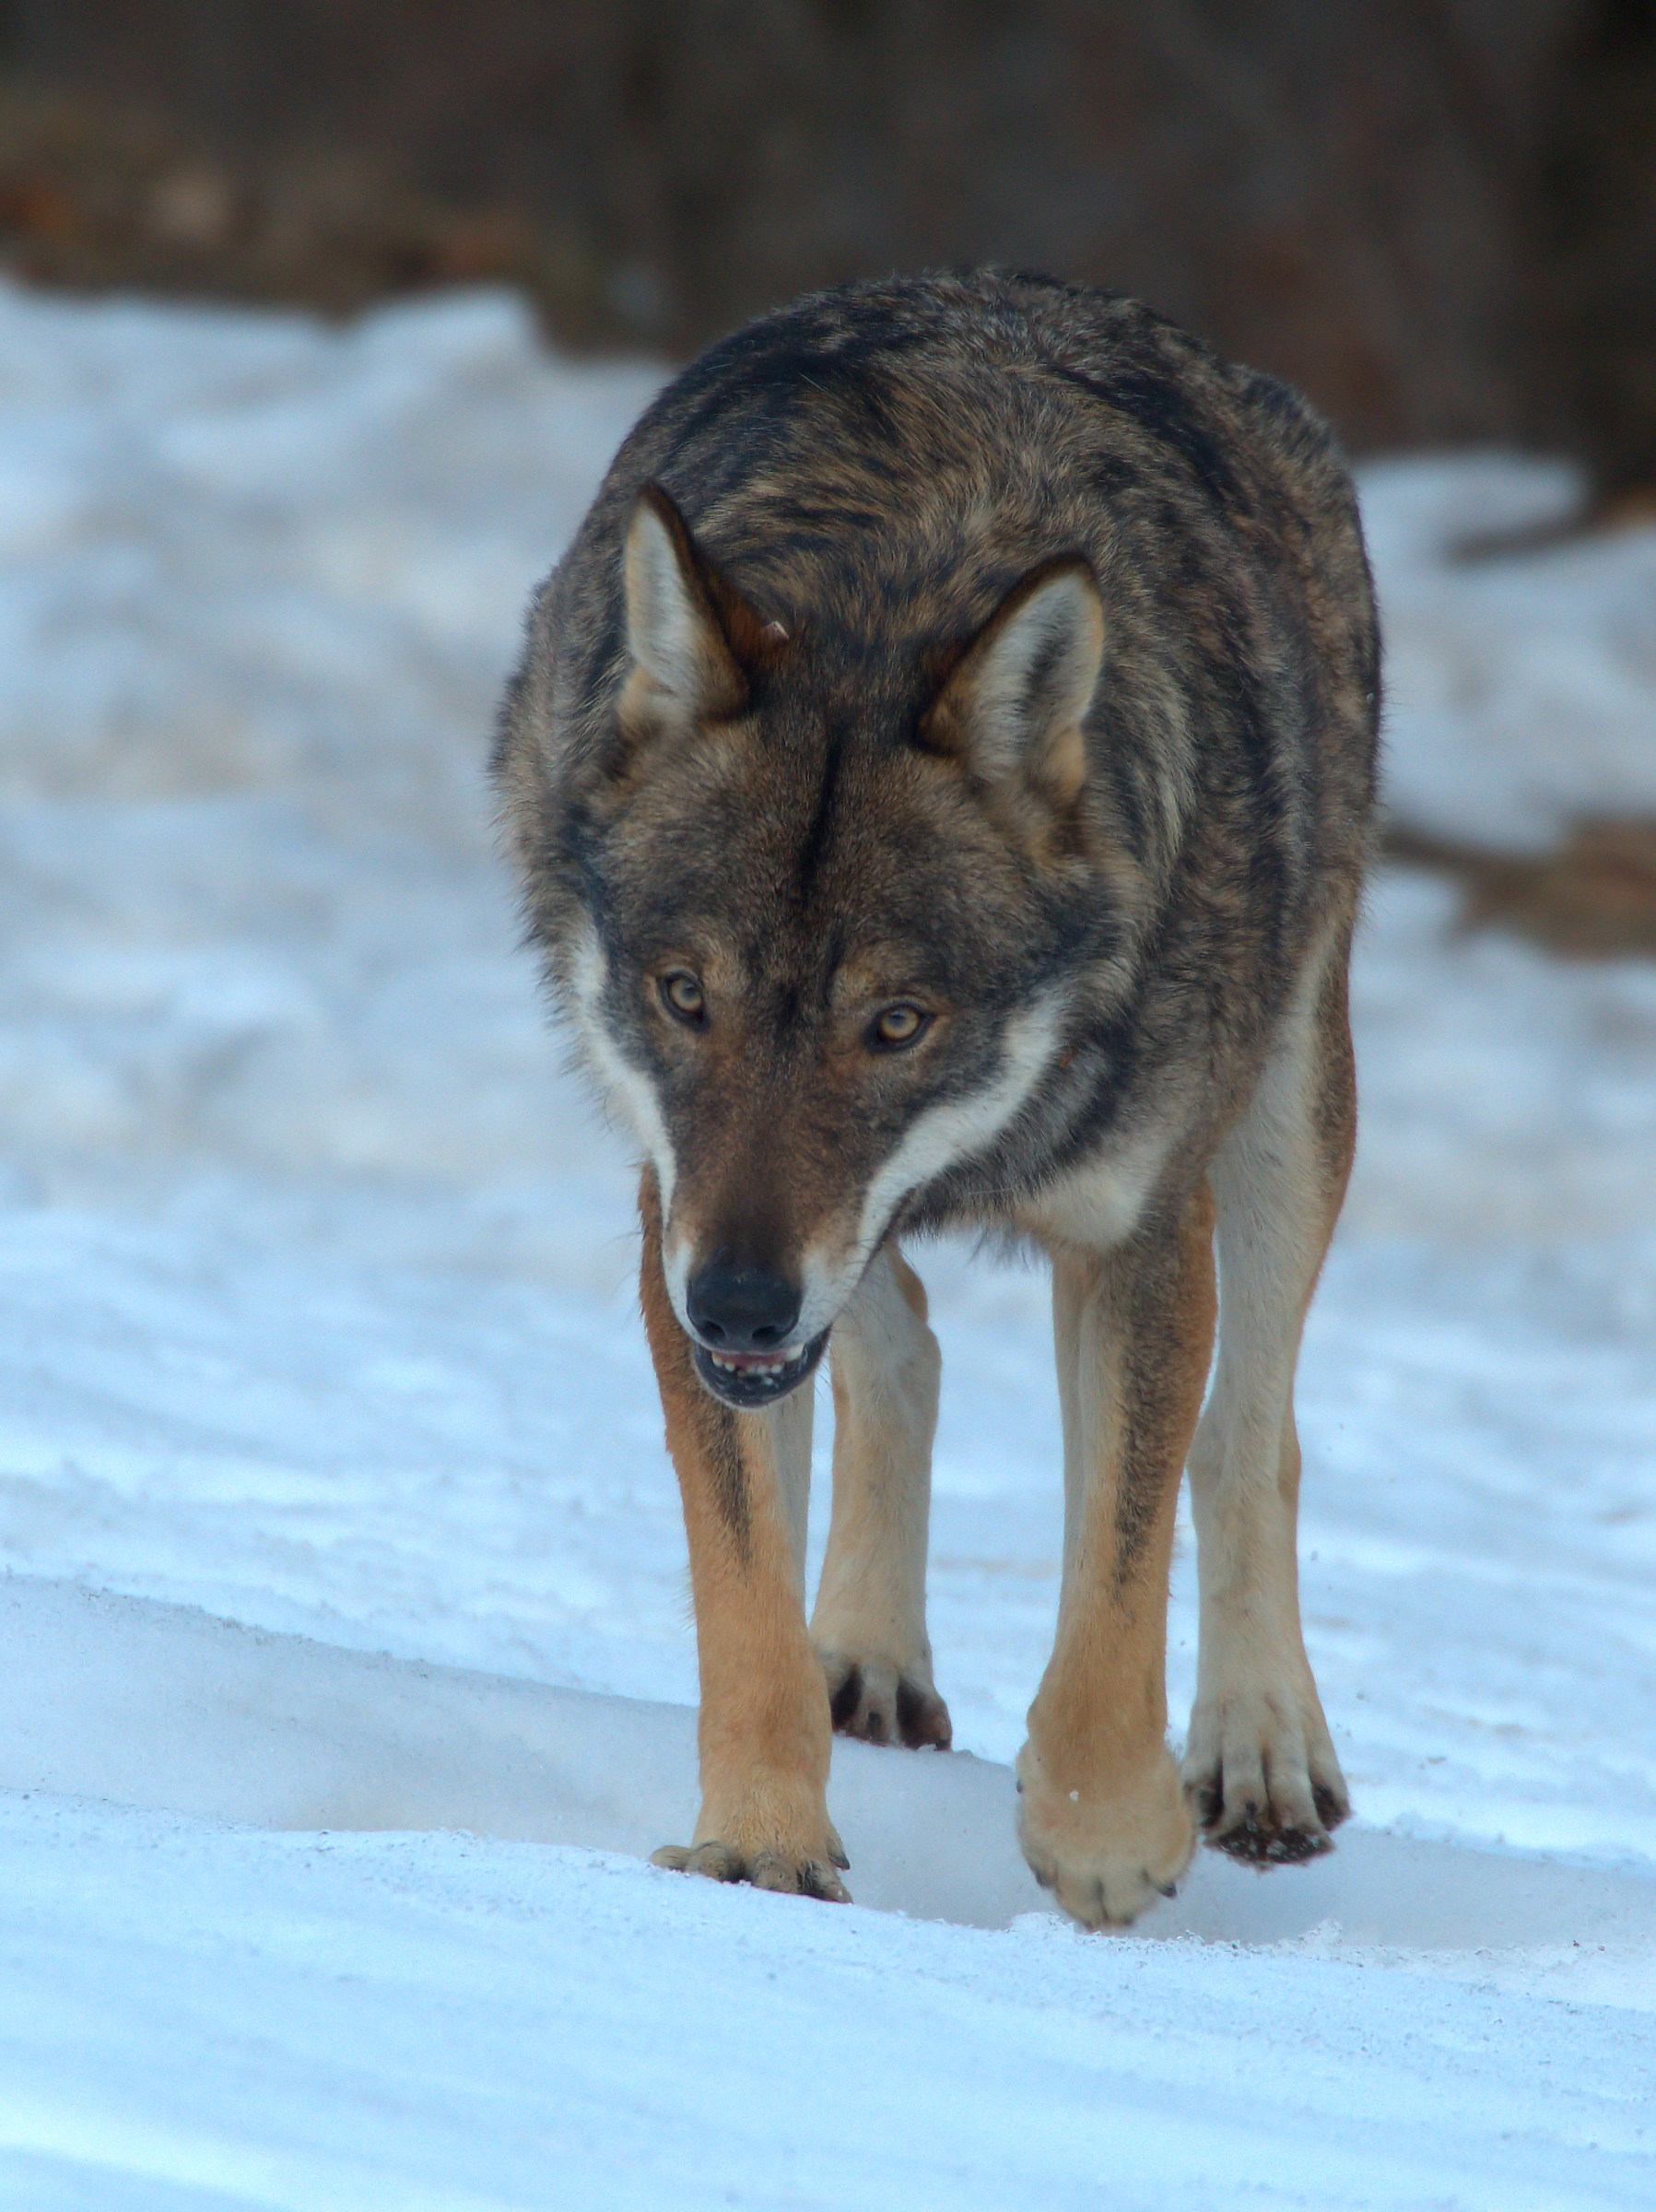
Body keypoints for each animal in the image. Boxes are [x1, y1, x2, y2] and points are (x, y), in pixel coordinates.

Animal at [494, 270, 1379, 1929]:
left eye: (895, 1024)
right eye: (685, 996)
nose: (741, 1307)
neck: (895, 574)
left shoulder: (1136, 1236)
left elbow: (1117, 1572)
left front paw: (1107, 1836)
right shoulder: (679, 1220)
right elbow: (743, 1596)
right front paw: (760, 1841)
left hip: (1290, 1112)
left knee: (1251, 1440)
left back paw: (1259, 1751)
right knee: (901, 1351)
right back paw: (870, 1658)